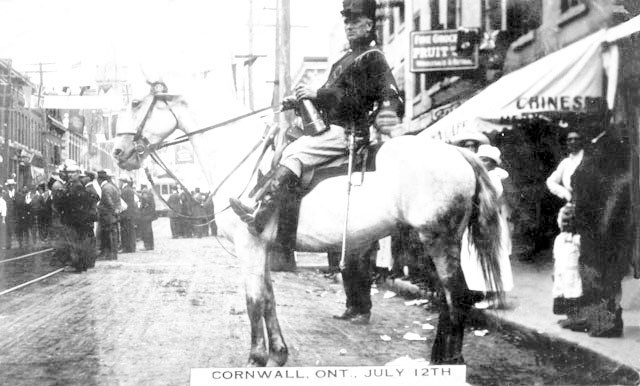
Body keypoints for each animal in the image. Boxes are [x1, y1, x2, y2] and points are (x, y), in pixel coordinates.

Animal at [114, 80, 504, 366]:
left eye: (135, 103)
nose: (119, 153)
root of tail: (458, 152)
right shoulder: (265, 249)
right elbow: (268, 298)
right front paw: (279, 353)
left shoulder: (250, 247)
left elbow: (253, 300)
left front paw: (257, 357)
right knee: (449, 298)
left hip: (439, 239)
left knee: (458, 296)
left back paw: (450, 360)